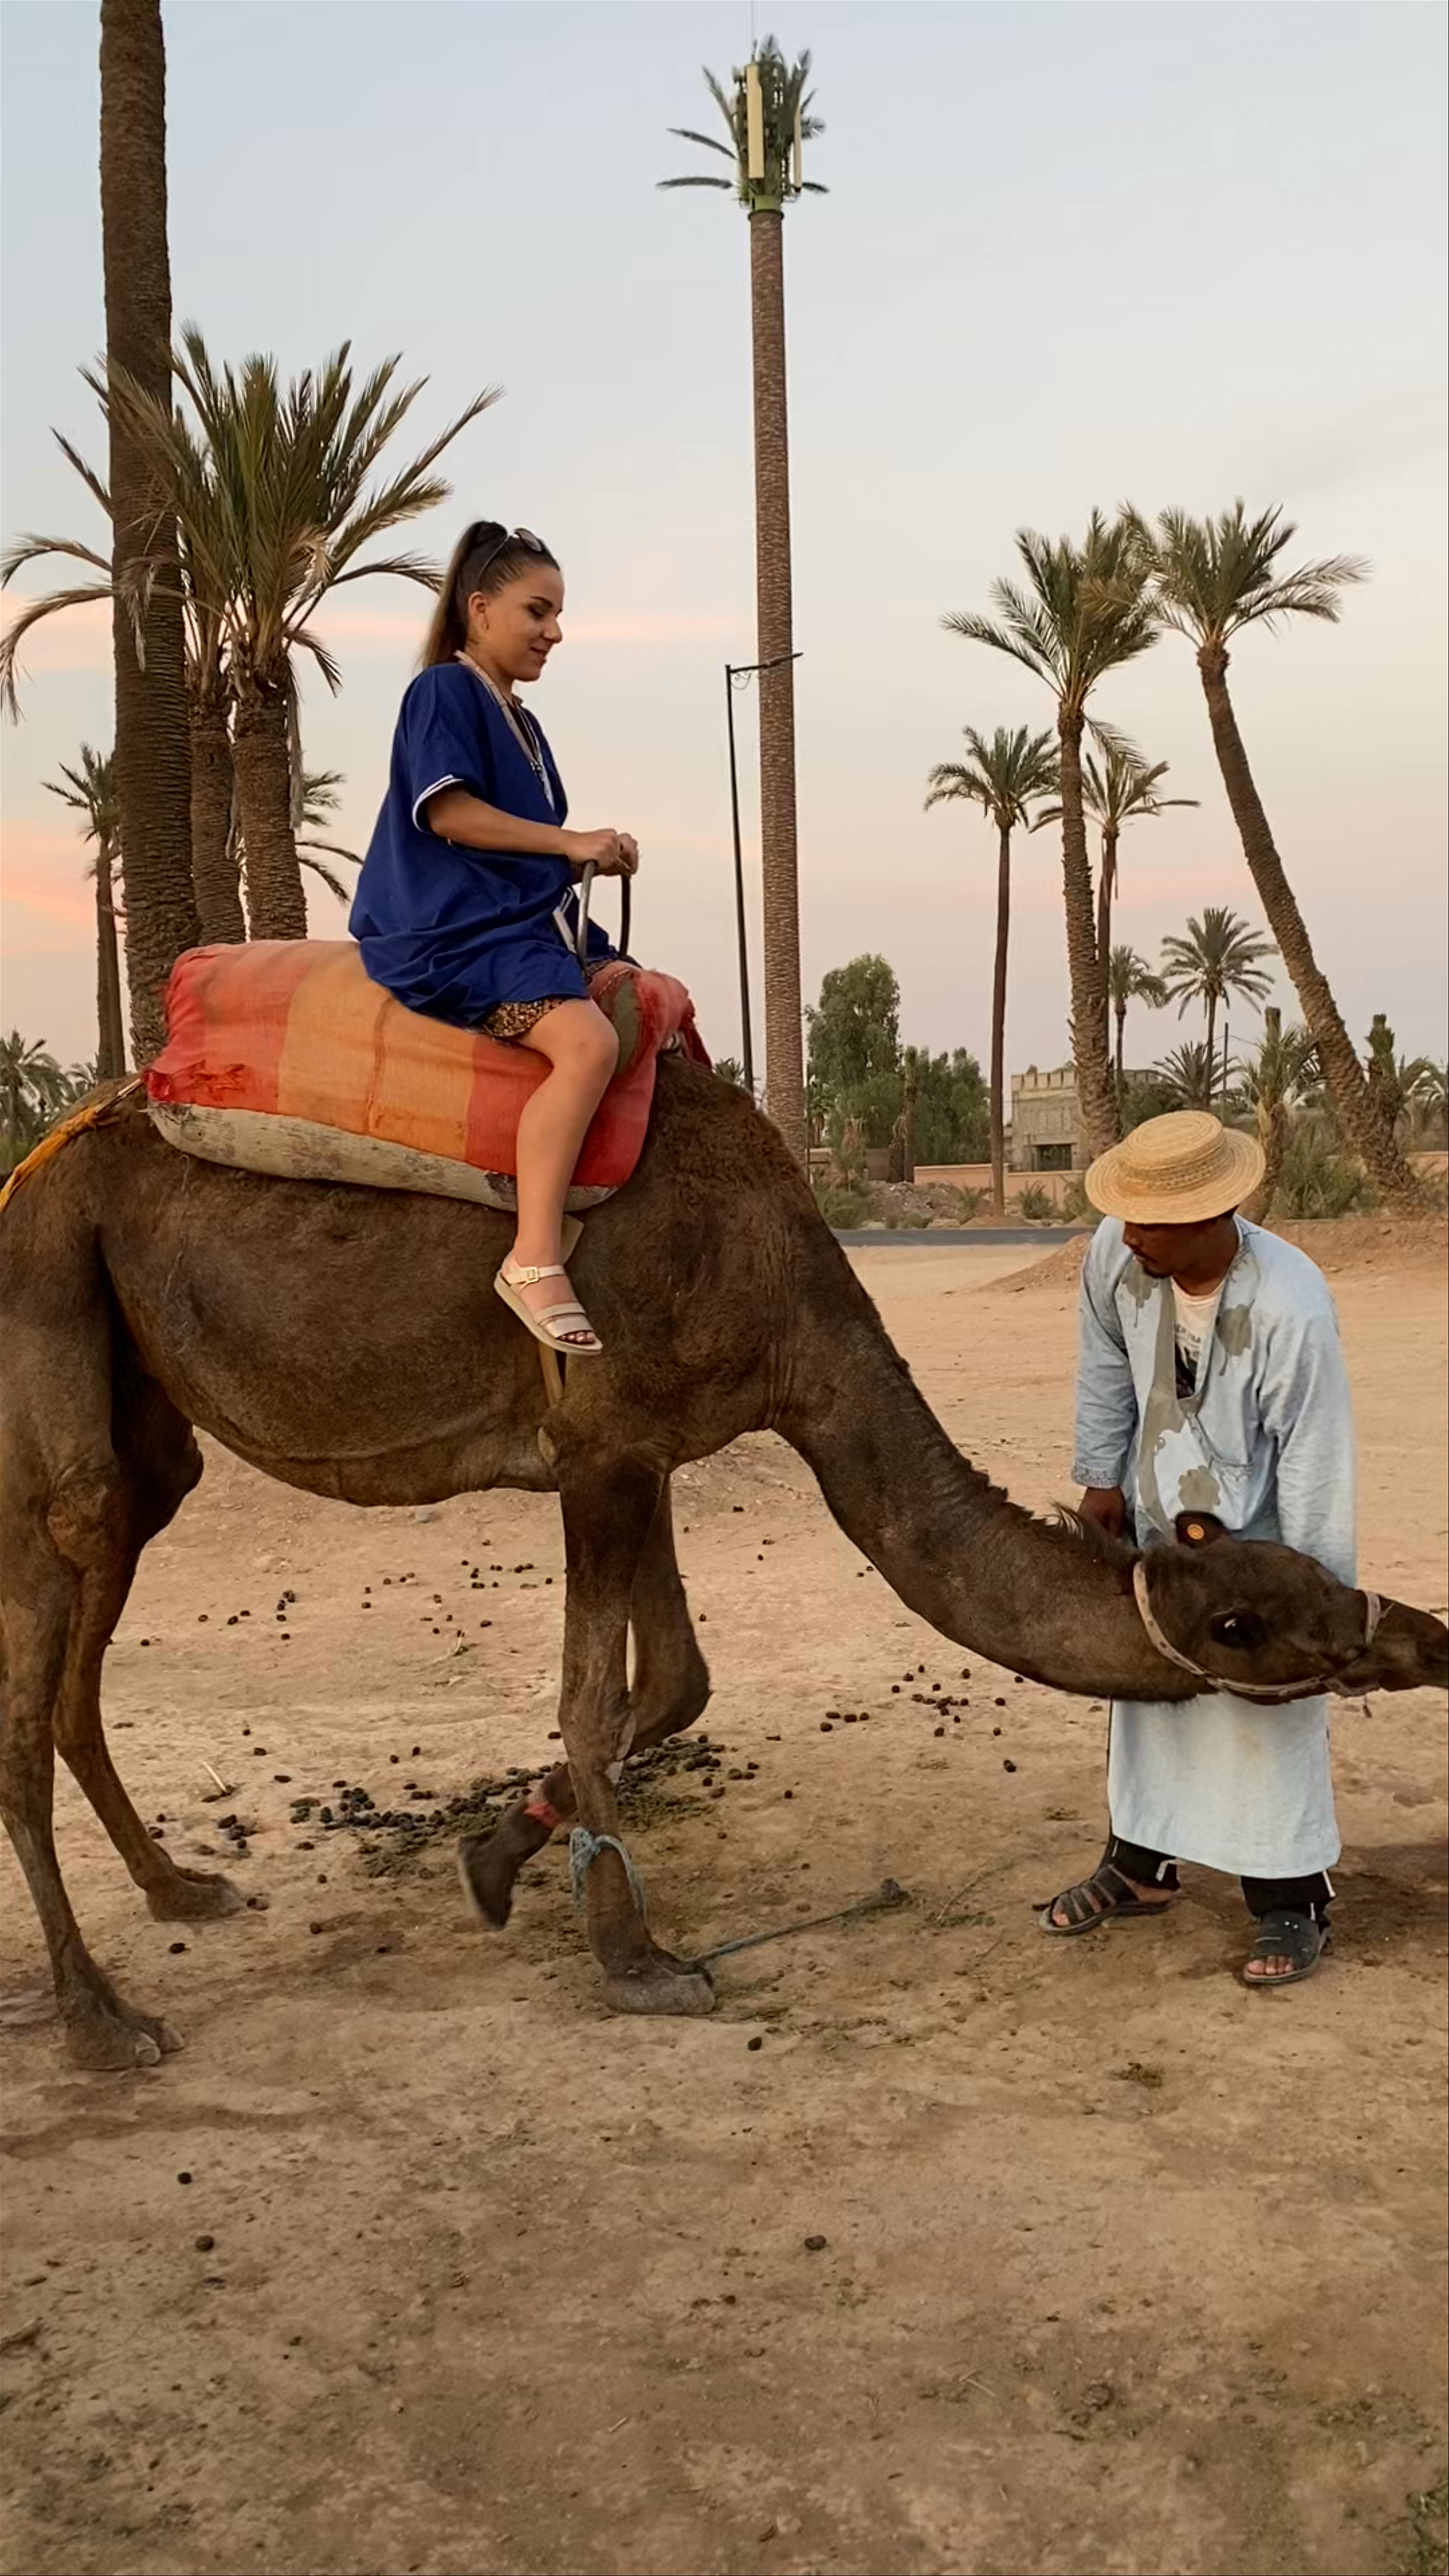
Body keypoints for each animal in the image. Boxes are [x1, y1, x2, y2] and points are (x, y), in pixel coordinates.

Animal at [1, 1061, 1444, 2071]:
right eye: (1249, 1622)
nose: (1420, 1632)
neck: (784, 1305)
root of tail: (33, 1166)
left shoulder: (649, 1445)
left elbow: (679, 1679)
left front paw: (494, 1857)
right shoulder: (598, 1444)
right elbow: (597, 1695)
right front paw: (637, 1961)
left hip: (148, 1423)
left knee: (92, 1632)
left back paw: (180, 1886)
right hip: (48, 1307)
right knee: (41, 1638)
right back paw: (102, 2017)